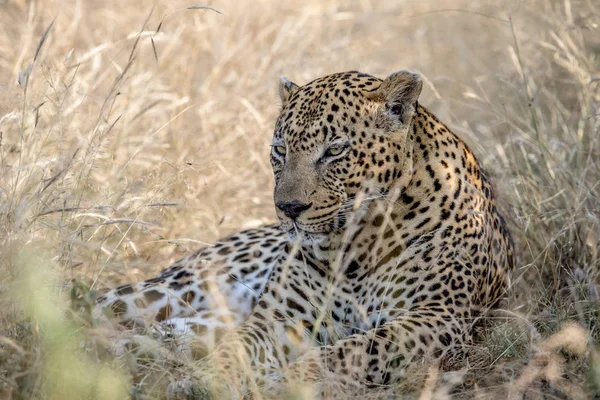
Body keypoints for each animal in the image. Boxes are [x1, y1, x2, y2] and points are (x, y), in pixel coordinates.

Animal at [94, 70, 516, 398]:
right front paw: (209, 381)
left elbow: (353, 351)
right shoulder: (277, 319)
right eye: (280, 149)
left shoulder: (435, 317)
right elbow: (237, 350)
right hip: (171, 289)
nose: (289, 209)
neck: (354, 249)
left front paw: (286, 383)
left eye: (334, 151)